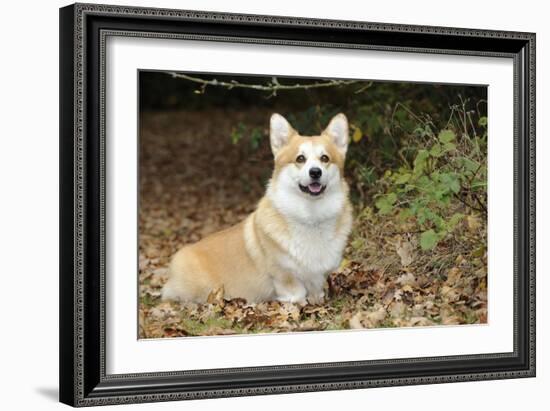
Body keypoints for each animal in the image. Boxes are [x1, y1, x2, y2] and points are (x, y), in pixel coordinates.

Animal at [163, 112, 354, 306]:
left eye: (325, 158)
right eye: (300, 158)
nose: (315, 172)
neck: (311, 215)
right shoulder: (284, 275)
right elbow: (296, 294)